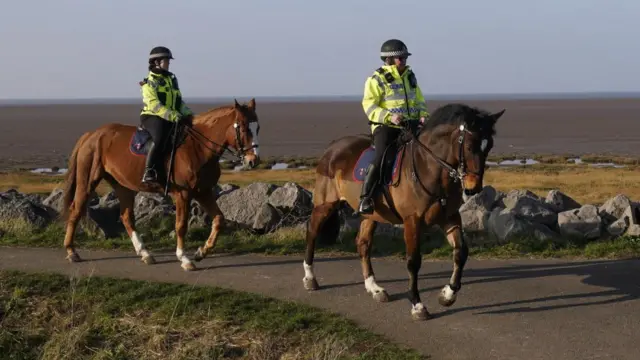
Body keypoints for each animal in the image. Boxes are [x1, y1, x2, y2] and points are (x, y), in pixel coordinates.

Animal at [60, 97, 260, 270]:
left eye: (257, 127)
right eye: (243, 128)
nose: (253, 161)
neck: (197, 147)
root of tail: (91, 135)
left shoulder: (203, 191)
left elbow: (219, 219)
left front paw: (201, 252)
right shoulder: (183, 194)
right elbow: (181, 226)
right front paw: (185, 258)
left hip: (123, 186)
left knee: (126, 217)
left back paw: (145, 254)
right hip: (87, 181)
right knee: (76, 210)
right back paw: (71, 251)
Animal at [300, 102, 504, 320]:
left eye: (489, 146)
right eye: (469, 146)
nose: (473, 188)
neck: (428, 168)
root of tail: (333, 147)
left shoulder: (449, 217)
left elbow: (461, 252)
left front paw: (447, 295)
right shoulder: (412, 220)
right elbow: (413, 261)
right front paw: (417, 305)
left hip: (371, 215)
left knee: (363, 244)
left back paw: (375, 288)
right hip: (325, 204)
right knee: (312, 232)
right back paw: (310, 278)